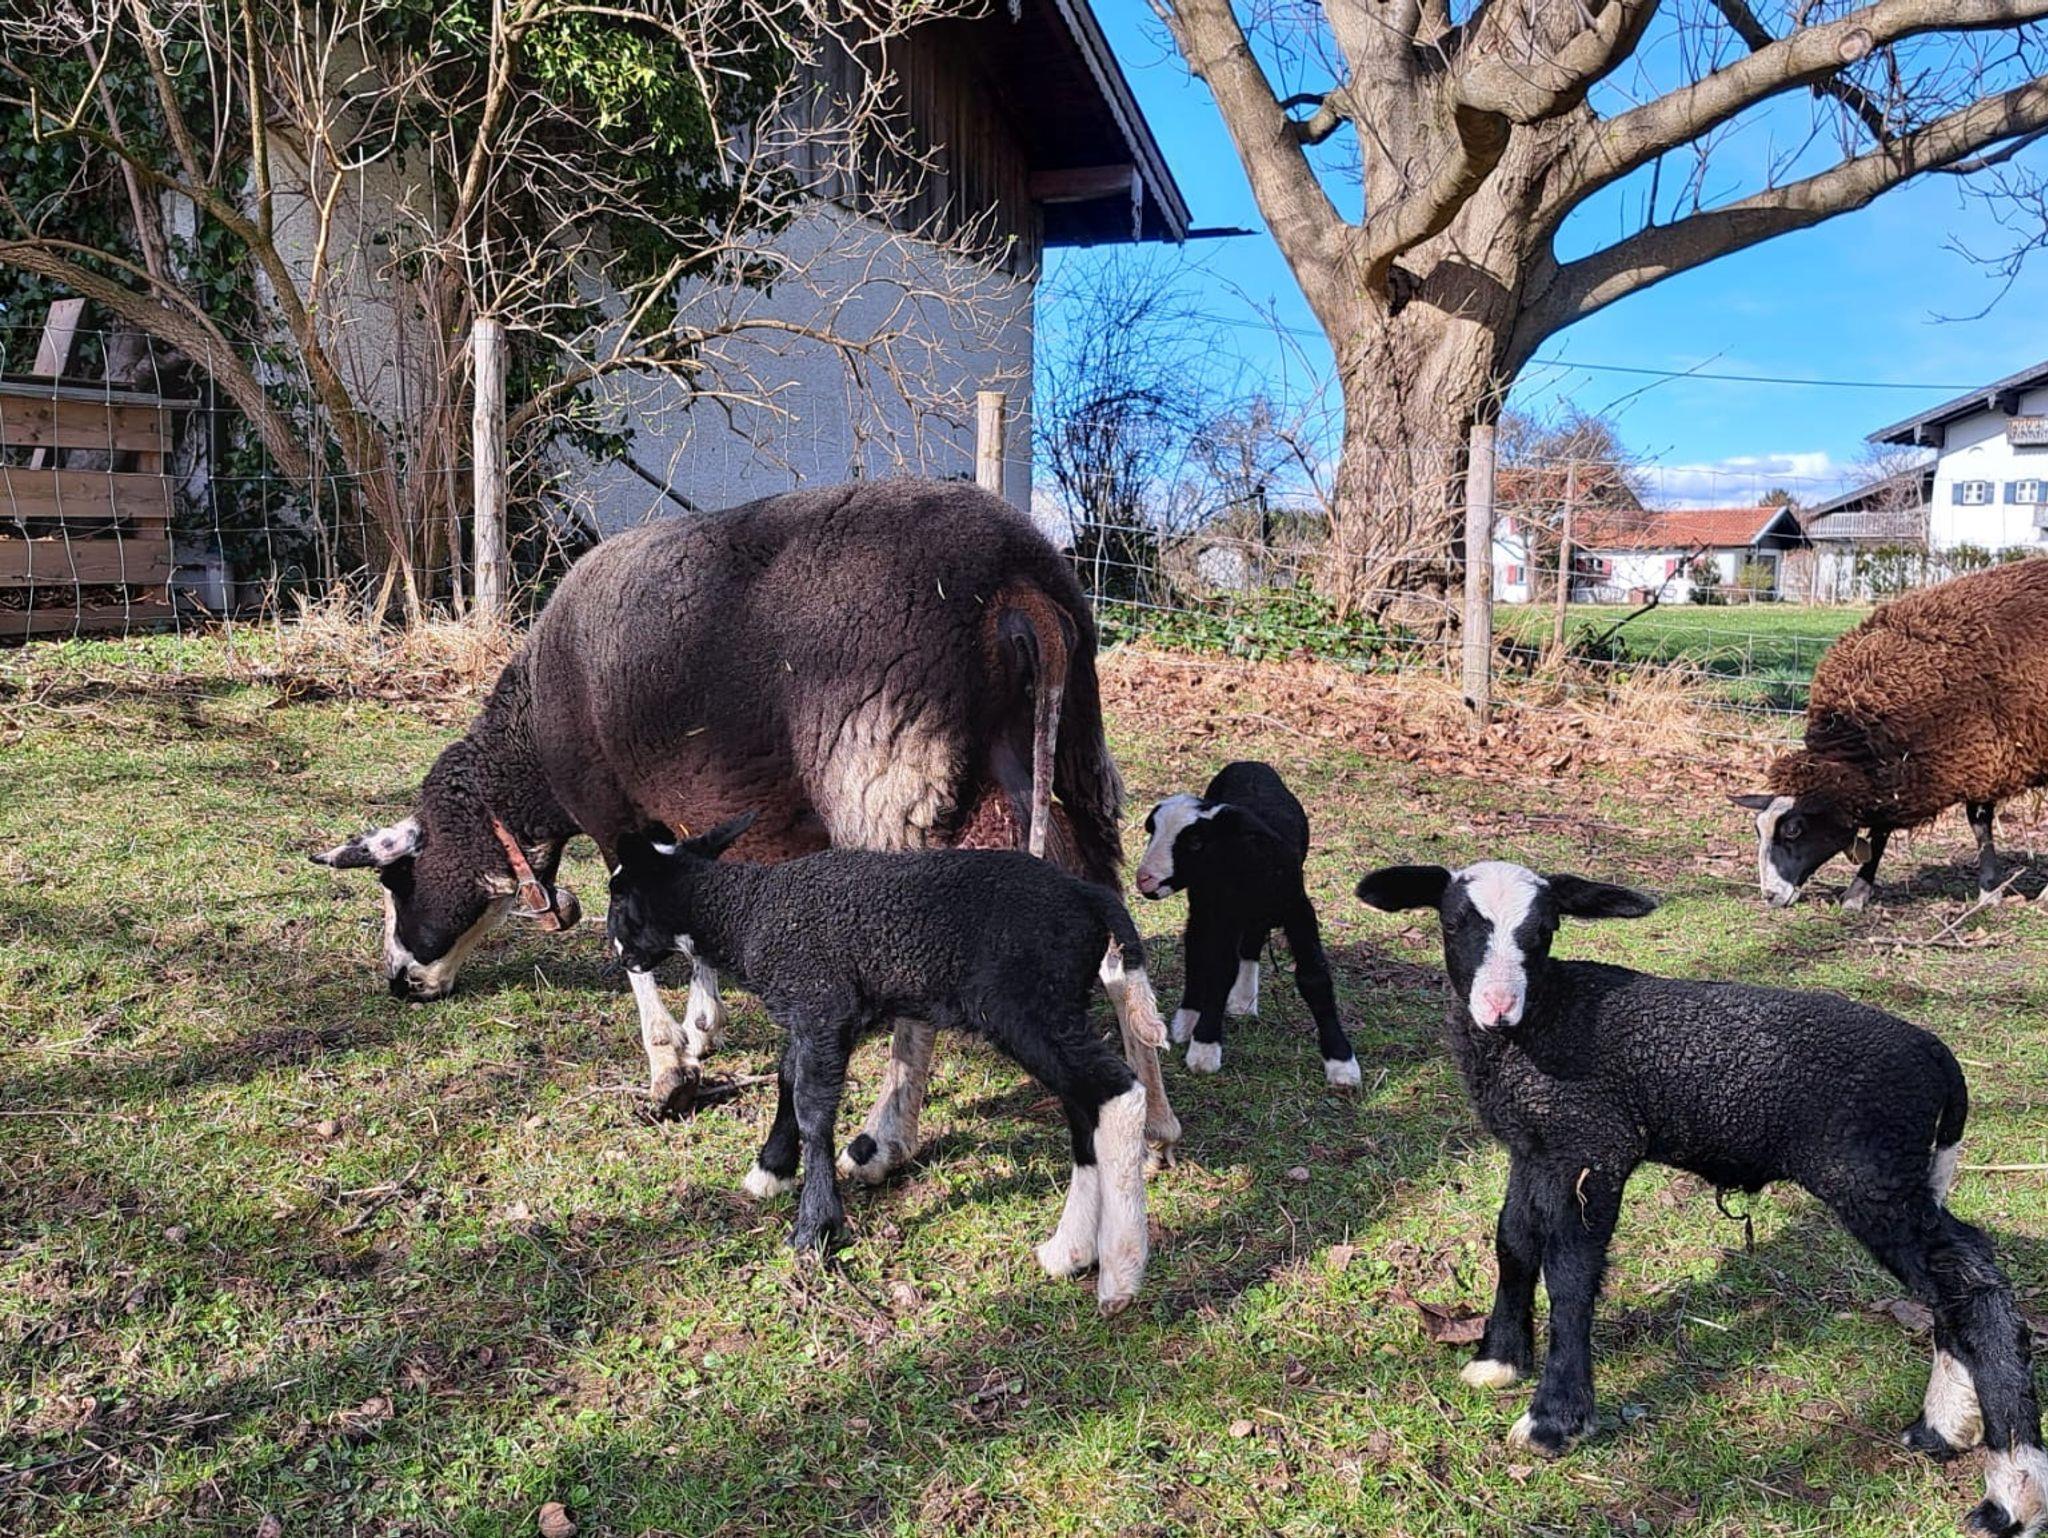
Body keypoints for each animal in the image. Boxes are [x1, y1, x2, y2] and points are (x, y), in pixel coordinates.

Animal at [606, 813, 1176, 1315]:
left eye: (620, 897)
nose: (619, 953)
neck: (745, 914)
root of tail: (1089, 896)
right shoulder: (823, 1014)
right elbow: (789, 1078)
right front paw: (772, 1170)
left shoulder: (820, 1000)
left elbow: (814, 1110)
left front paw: (814, 1229)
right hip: (1058, 1005)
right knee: (1084, 1105)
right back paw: (1070, 1251)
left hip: (1026, 1002)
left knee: (1115, 1090)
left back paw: (1120, 1273)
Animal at [1134, 761, 1360, 1085]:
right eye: (1152, 832)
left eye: (1196, 842)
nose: (1144, 879)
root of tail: (1246, 763)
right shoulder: (1219, 912)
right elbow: (1218, 970)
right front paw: (1204, 1047)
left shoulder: (1298, 908)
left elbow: (1314, 977)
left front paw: (1341, 1063)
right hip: (1203, 905)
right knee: (1196, 949)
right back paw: (1189, 1019)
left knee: (1251, 941)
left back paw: (1243, 1000)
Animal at [1356, 858, 2046, 1537]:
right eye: (1453, 925)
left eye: (1545, 930)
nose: (1498, 1005)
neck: (1539, 1025)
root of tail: (1943, 1067)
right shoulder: (1536, 1147)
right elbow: (1514, 1242)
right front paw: (1497, 1360)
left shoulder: (1593, 1144)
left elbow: (1572, 1273)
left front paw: (1556, 1419)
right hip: (1911, 1174)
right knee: (1954, 1280)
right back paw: (1943, 1428)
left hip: (1869, 1174)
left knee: (1972, 1284)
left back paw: (2011, 1491)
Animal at [1732, 558, 2048, 909]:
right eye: (1758, 831)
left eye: (1794, 830)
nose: (1770, 896)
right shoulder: (1900, 769)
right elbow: (1880, 831)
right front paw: (1857, 891)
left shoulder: (1983, 753)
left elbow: (1979, 823)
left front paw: (1990, 890)